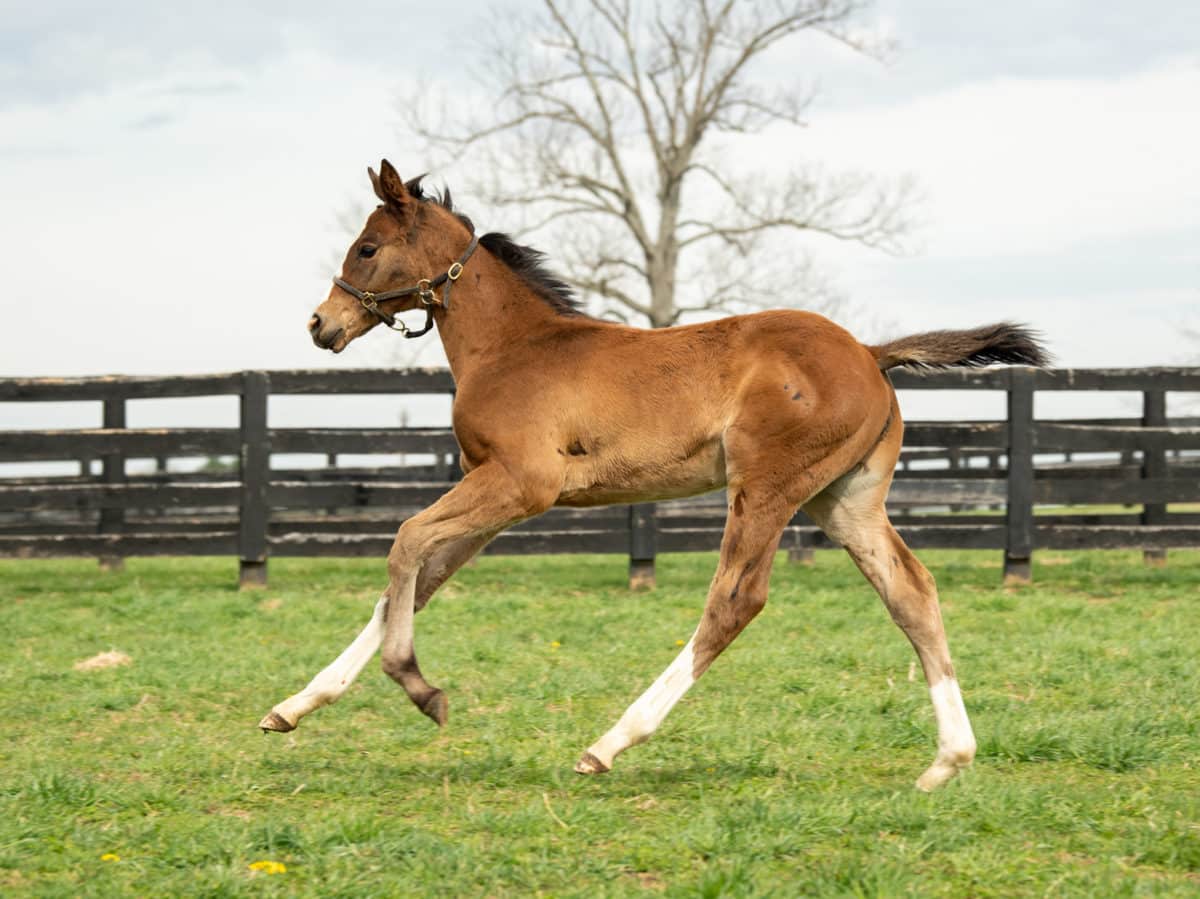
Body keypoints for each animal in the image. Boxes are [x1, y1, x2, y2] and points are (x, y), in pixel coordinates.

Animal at [260, 159, 1041, 787]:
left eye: (367, 247)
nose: (321, 324)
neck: (511, 347)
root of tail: (870, 353)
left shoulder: (522, 484)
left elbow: (405, 542)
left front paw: (421, 689)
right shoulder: (496, 493)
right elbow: (416, 582)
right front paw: (292, 707)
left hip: (767, 488)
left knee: (736, 600)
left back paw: (609, 743)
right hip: (843, 501)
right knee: (910, 591)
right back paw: (947, 761)